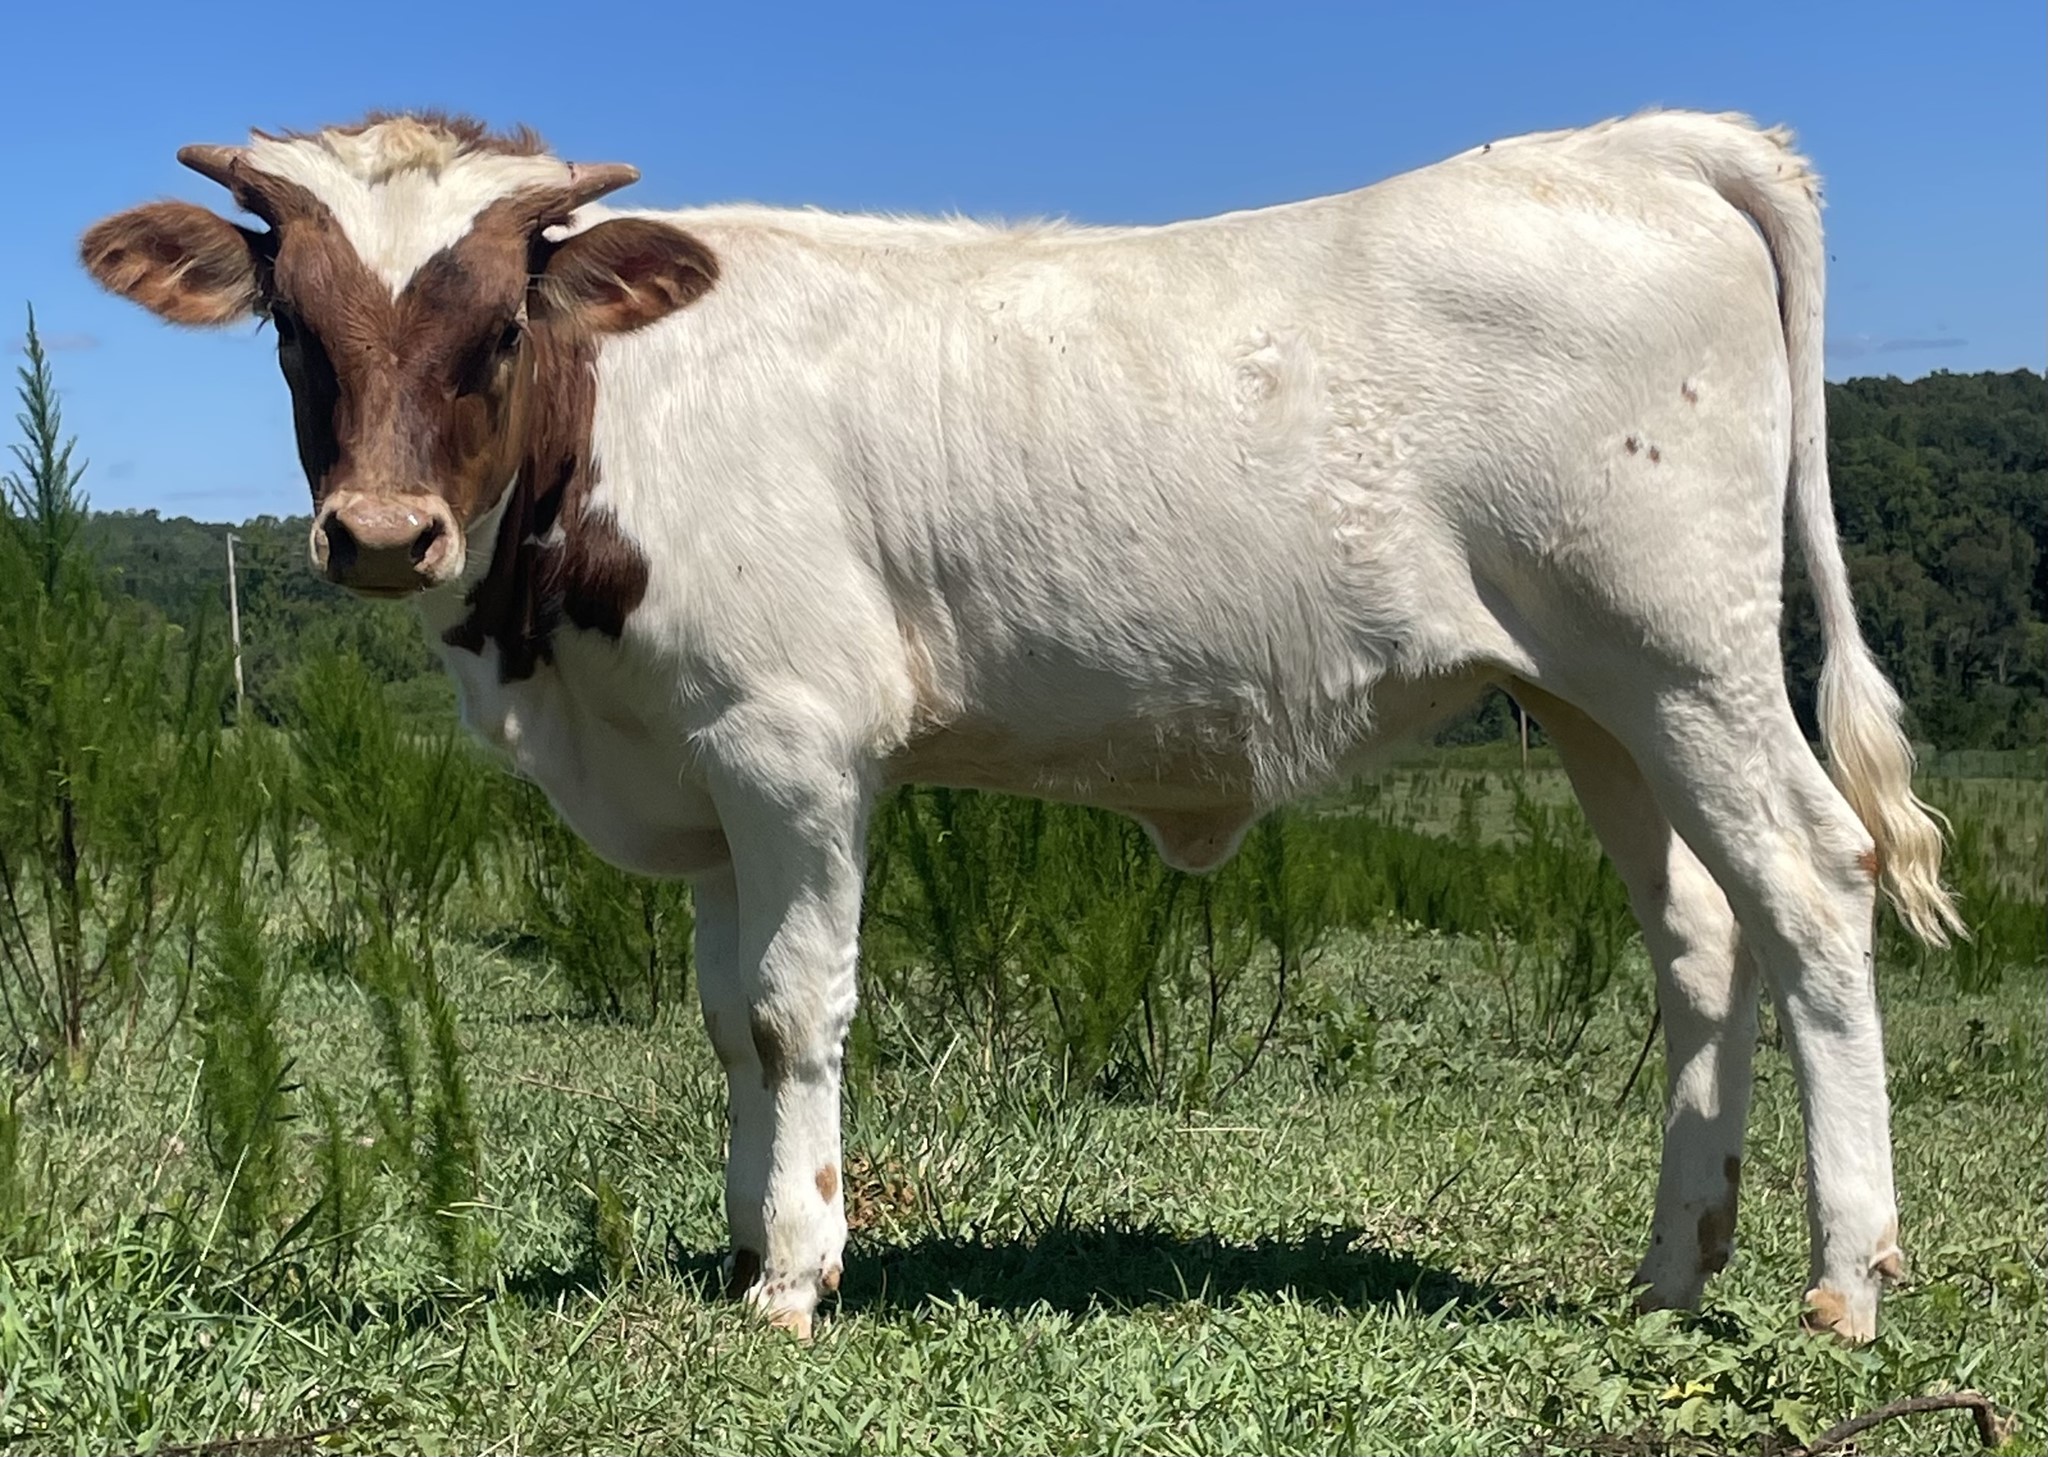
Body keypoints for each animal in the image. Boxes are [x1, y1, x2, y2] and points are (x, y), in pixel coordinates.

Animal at [82, 108, 1961, 1342]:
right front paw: (741, 1236)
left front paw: (794, 1274)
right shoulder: (699, 768)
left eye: (496, 321)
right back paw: (1668, 1272)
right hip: (1588, 694)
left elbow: (795, 1009)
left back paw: (1844, 1277)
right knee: (1701, 936)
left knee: (1811, 884)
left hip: (1683, 655)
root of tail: (1638, 141)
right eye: (296, 323)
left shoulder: (793, 743)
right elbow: (722, 1020)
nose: (379, 532)